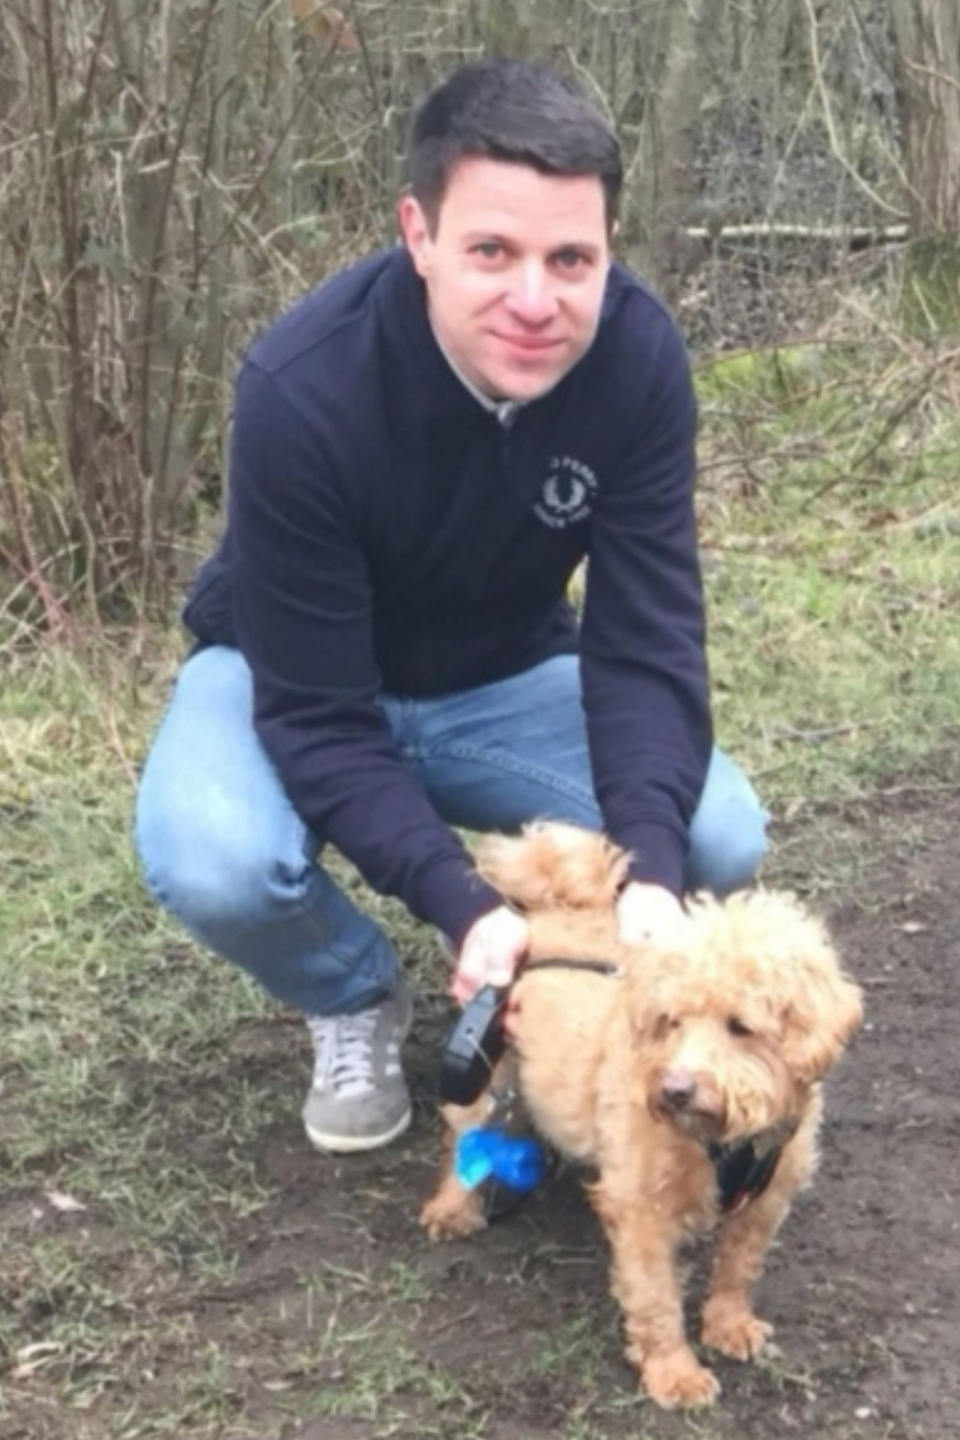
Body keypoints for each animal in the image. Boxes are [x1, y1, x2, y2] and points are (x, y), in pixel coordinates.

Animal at [420, 823, 863, 1405]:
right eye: (671, 1020)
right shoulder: (640, 1210)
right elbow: (656, 1297)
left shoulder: (766, 1201)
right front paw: (674, 1373)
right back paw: (453, 1208)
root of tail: (554, 905)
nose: (674, 1089)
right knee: (464, 1135)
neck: (722, 1140)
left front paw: (728, 1325)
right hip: (484, 1064)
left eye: (741, 1026)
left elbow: (738, 1268)